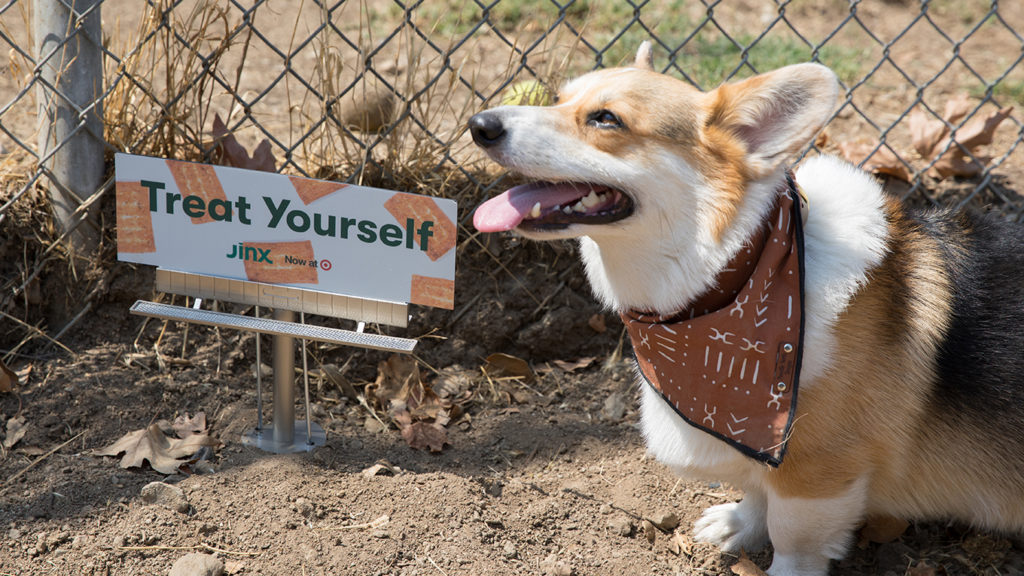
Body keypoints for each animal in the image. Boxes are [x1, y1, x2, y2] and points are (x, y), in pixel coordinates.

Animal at [468, 43, 1024, 573]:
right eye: (559, 99)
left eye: (606, 118)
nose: (480, 125)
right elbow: (757, 490)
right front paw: (739, 523)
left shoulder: (818, 475)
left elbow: (793, 539)